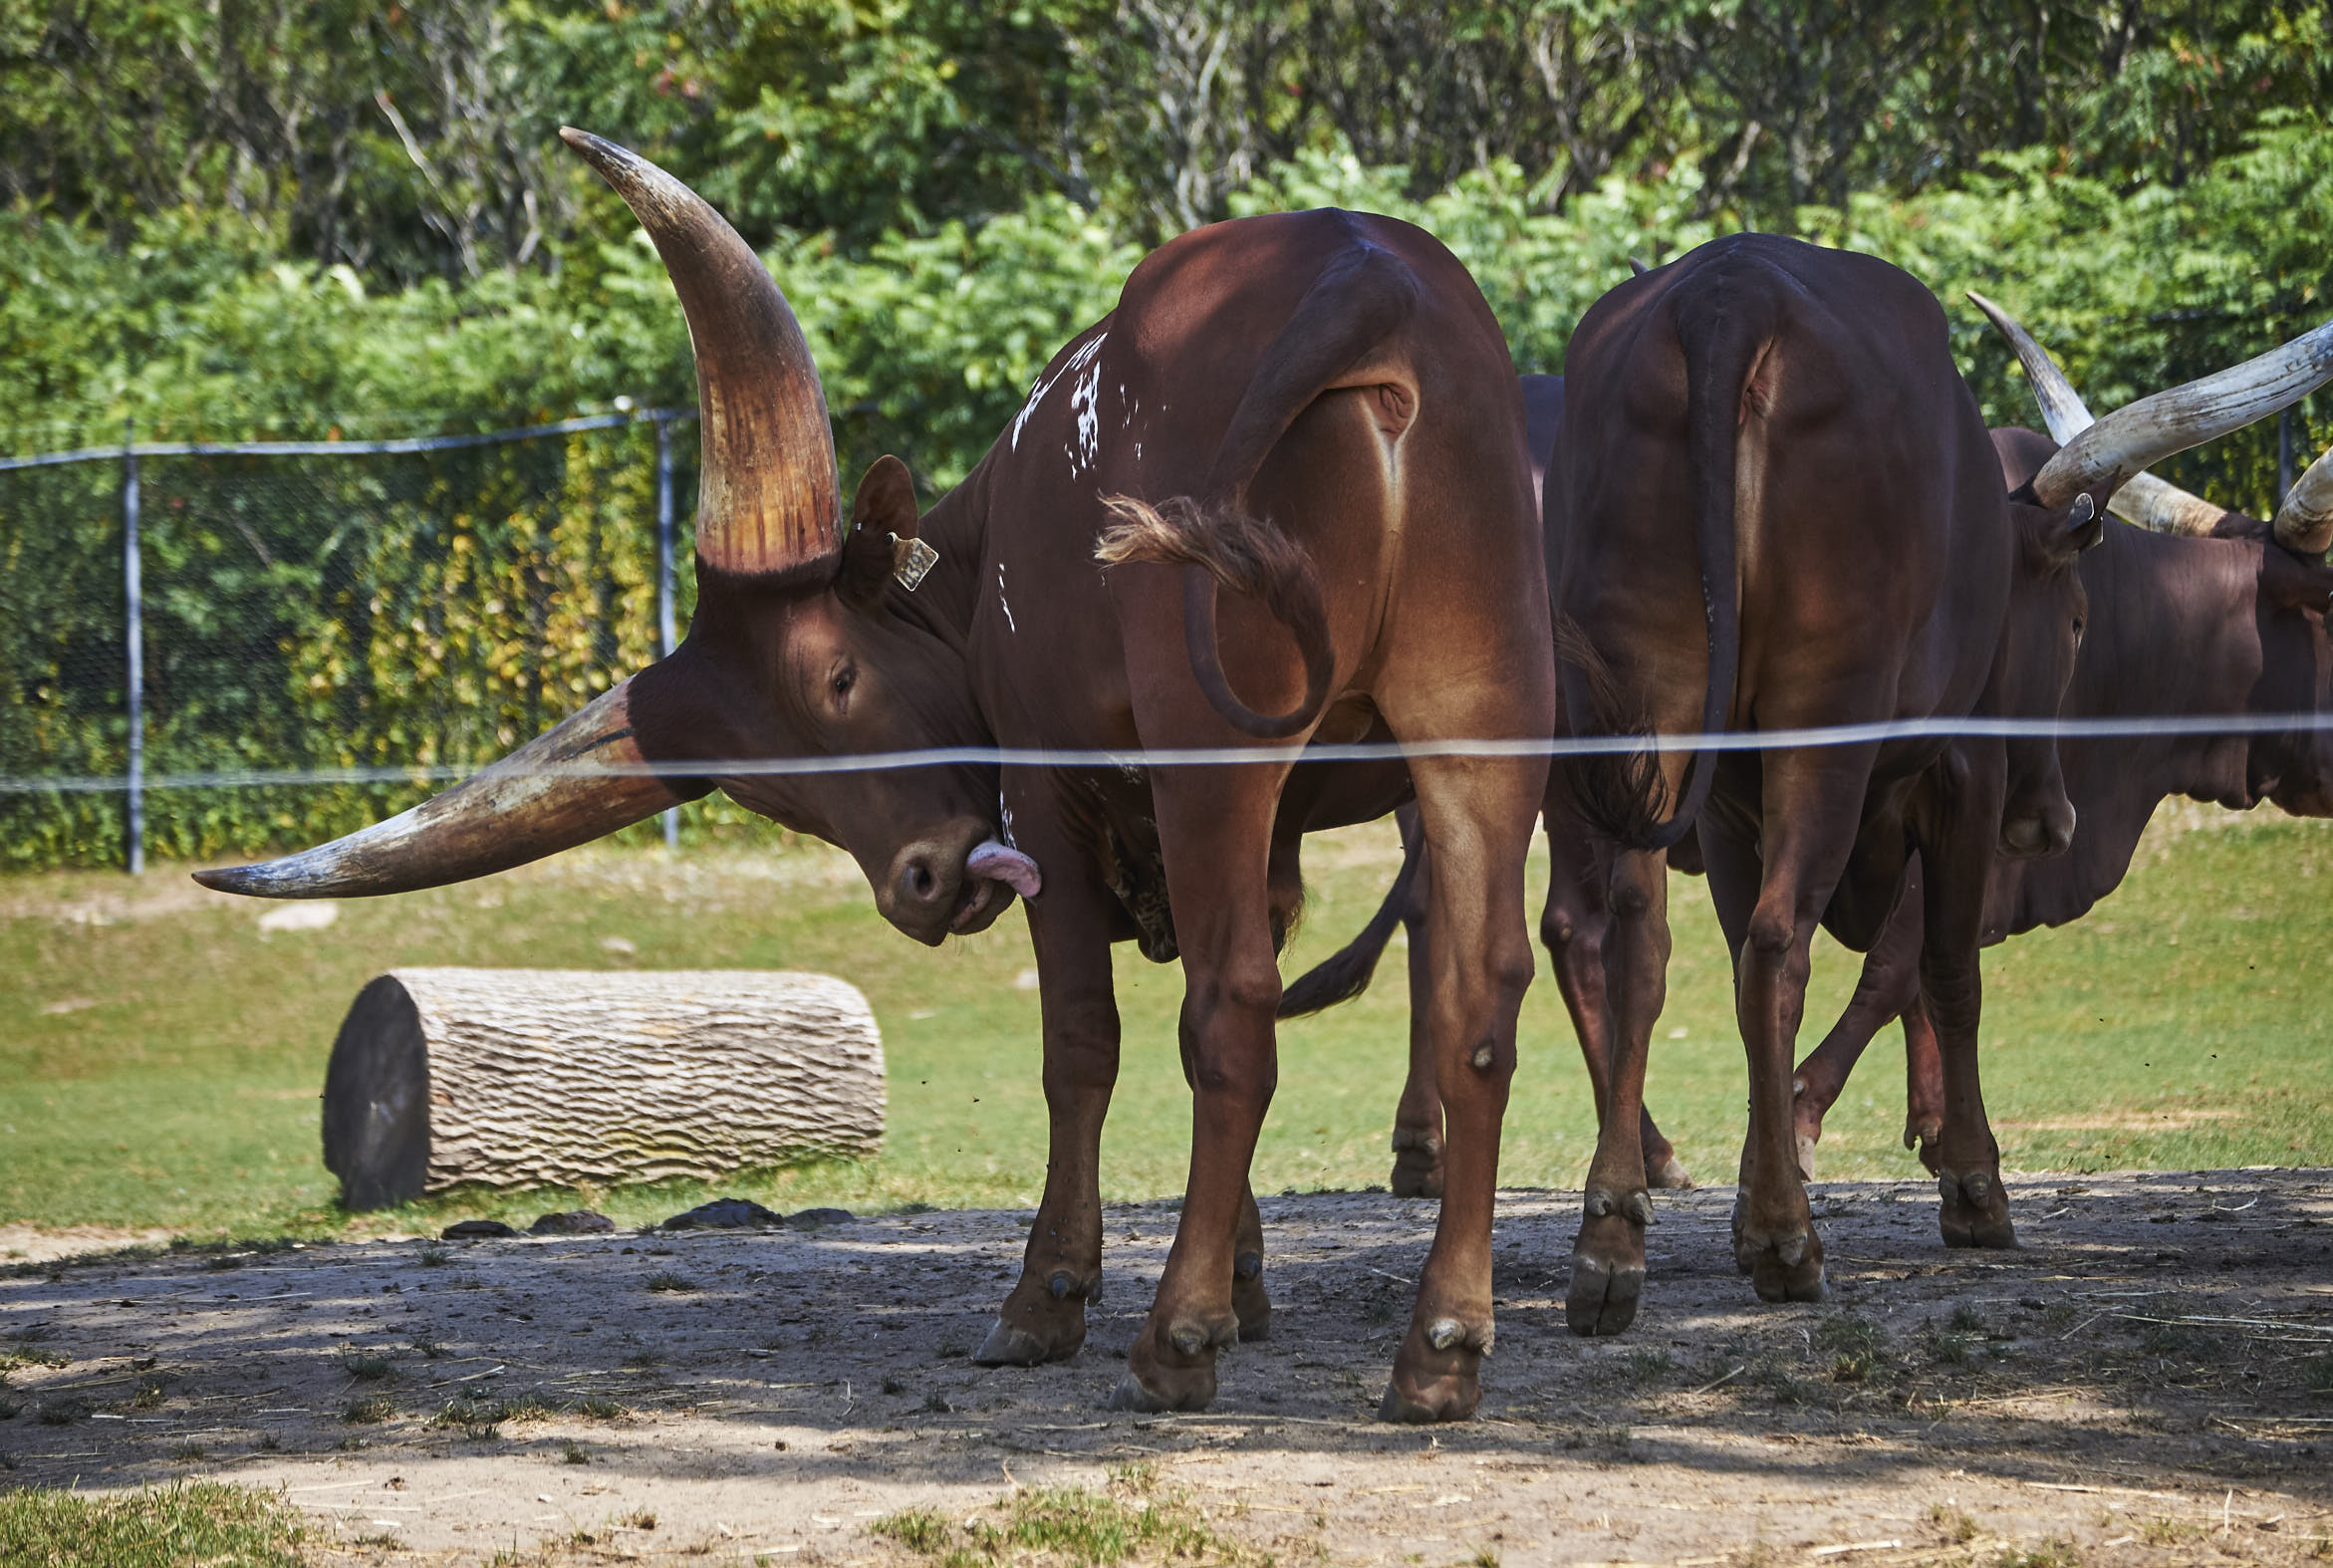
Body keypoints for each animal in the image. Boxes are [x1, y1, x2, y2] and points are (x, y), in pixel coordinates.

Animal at [195, 131, 1549, 1419]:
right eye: (764, 787)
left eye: (840, 679)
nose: (924, 881)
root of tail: (1356, 273)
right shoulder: (1250, 834)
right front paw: (1246, 1285)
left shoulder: (1052, 791)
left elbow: (1081, 1040)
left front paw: (1053, 1295)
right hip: (1478, 734)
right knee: (1473, 1001)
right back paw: (1439, 1349)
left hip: (1214, 753)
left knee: (1232, 1009)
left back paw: (1170, 1346)